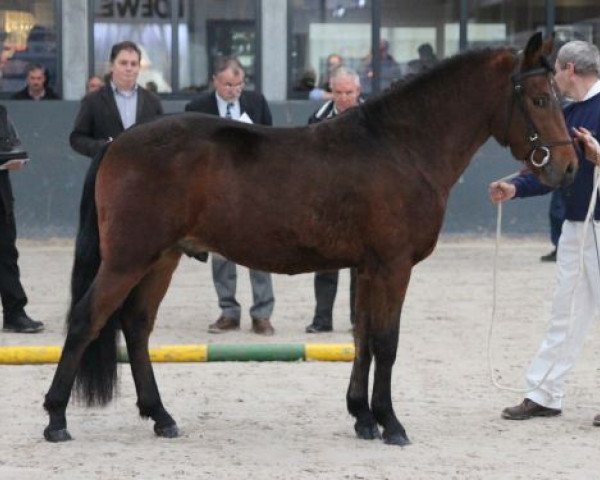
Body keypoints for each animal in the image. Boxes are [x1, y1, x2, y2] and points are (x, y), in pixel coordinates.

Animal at [42, 34, 576, 446]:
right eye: (541, 99)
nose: (569, 167)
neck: (401, 146)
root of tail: (118, 143)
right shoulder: (393, 266)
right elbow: (387, 342)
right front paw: (391, 423)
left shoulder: (366, 268)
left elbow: (363, 338)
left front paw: (363, 417)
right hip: (128, 259)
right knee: (87, 319)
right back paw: (56, 418)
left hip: (162, 258)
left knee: (136, 325)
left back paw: (161, 416)